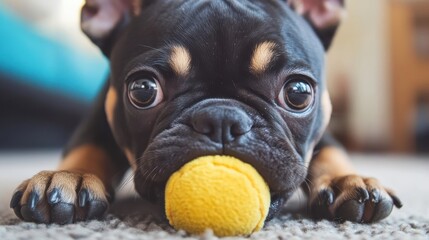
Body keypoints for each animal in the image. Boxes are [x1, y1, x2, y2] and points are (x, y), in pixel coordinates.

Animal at [11, 0, 402, 225]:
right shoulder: (99, 114)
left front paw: (347, 180)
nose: (222, 119)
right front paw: (69, 178)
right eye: (142, 90)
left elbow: (332, 150)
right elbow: (87, 145)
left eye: (298, 93)